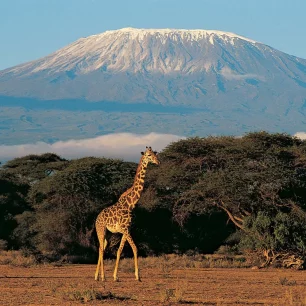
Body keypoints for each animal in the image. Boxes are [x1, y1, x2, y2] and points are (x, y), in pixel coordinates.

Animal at [94, 147, 159, 280]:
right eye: (149, 155)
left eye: (155, 154)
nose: (158, 162)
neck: (131, 204)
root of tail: (96, 219)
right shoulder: (125, 229)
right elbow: (135, 248)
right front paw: (138, 276)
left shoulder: (126, 230)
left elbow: (120, 250)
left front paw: (115, 276)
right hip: (100, 230)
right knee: (101, 249)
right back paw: (103, 277)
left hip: (108, 233)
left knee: (101, 248)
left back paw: (97, 276)